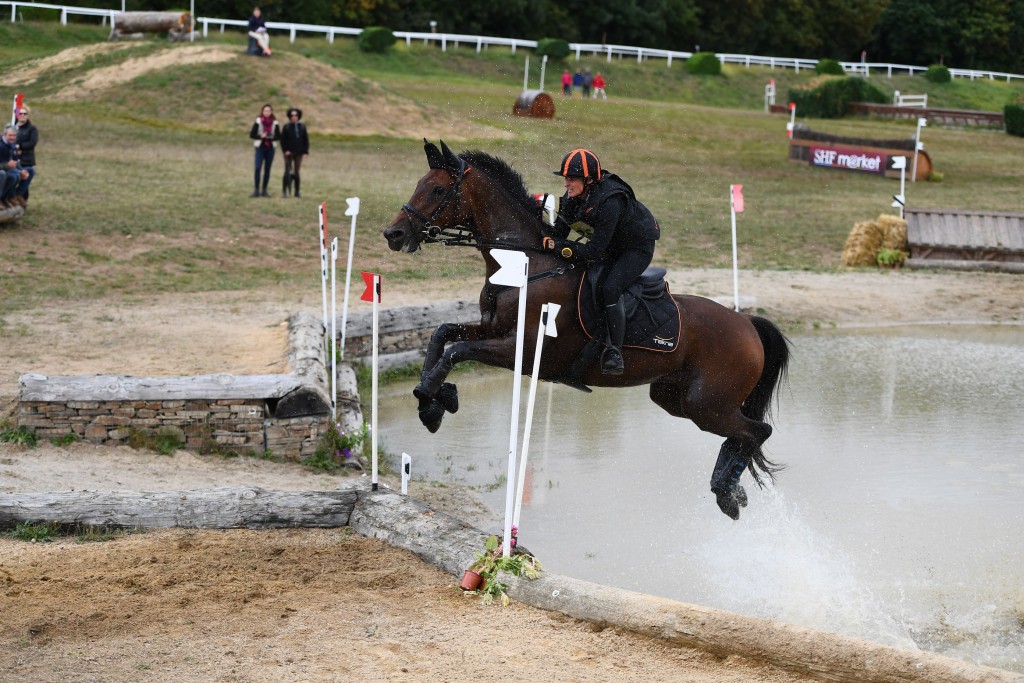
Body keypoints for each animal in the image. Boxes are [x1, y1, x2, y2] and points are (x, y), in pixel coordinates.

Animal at [385, 141, 790, 520]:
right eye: (420, 184)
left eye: (438, 189)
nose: (394, 233)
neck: (526, 266)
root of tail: (747, 323)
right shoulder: (491, 329)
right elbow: (441, 334)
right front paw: (432, 402)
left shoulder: (523, 350)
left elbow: (458, 351)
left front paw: (431, 396)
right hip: (675, 398)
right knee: (741, 433)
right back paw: (730, 488)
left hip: (706, 404)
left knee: (757, 432)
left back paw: (726, 490)